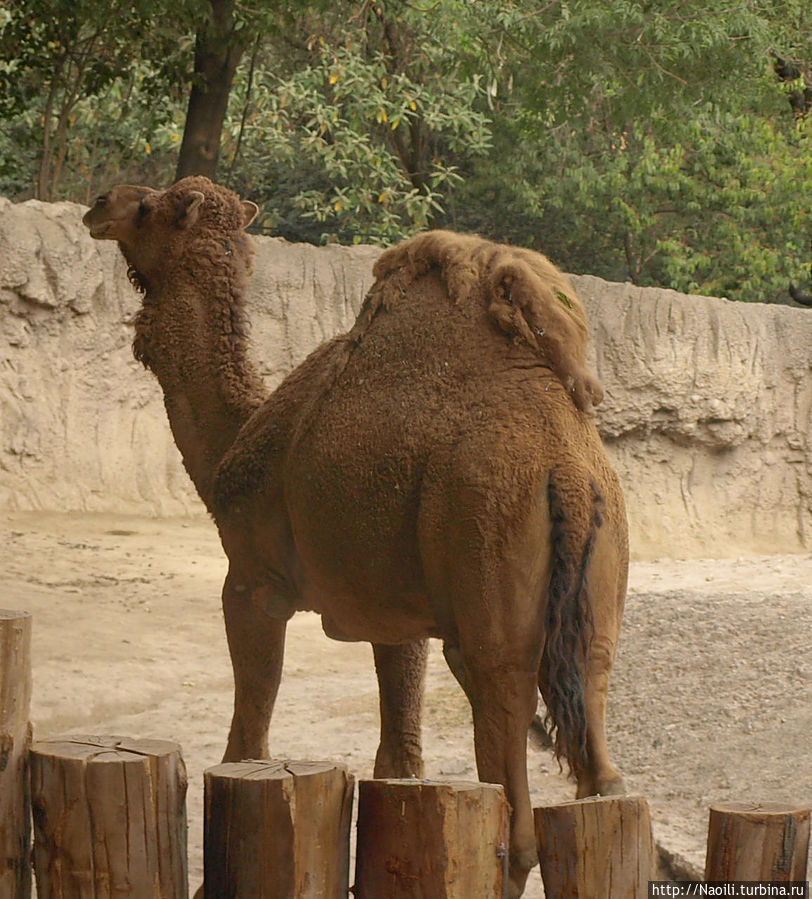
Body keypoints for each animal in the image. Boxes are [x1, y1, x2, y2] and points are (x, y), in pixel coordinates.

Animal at [82, 178, 628, 899]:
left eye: (147, 208)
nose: (99, 205)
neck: (235, 444)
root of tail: (566, 472)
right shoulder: (397, 616)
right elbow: (399, 752)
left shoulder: (252, 581)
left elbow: (250, 727)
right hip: (598, 581)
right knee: (601, 756)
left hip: (486, 544)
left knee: (510, 756)